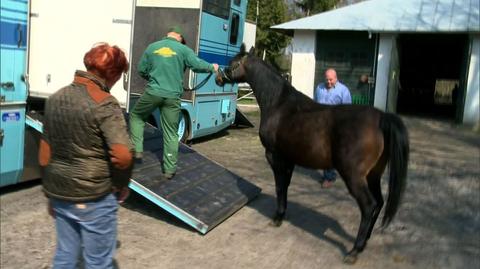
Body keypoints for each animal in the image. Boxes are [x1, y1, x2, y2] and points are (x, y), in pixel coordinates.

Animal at [217, 45, 408, 262]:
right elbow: (285, 187)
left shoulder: (274, 156)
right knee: (379, 203)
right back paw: (365, 242)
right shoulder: (289, 160)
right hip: (373, 175)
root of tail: (382, 118)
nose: (218, 78)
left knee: (368, 206)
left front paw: (277, 218)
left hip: (354, 176)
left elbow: (279, 187)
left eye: (233, 63)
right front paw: (282, 214)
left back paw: (354, 251)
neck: (279, 104)